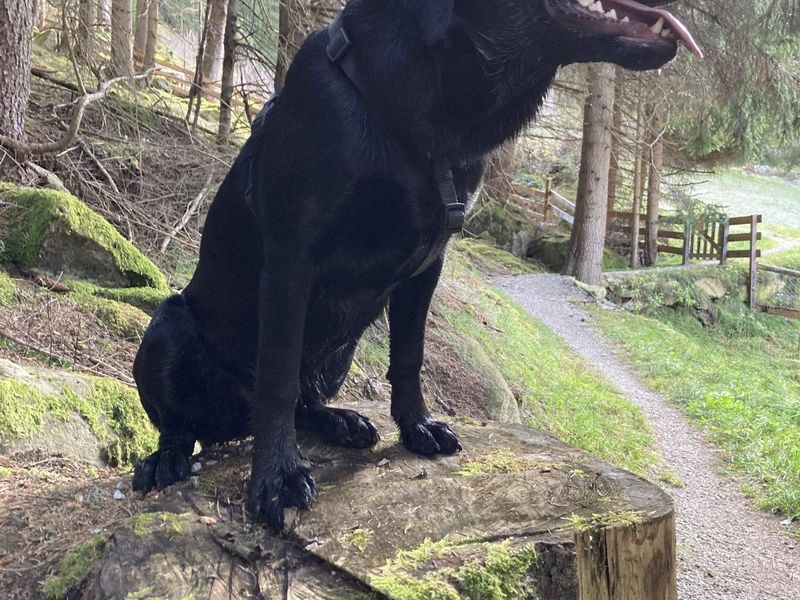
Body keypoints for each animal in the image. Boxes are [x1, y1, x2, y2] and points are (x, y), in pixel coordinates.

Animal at [131, 0, 692, 528]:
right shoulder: (292, 257)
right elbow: (277, 380)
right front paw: (277, 477)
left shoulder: (428, 265)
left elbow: (408, 358)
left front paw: (417, 427)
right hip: (165, 327)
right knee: (186, 423)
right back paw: (167, 460)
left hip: (336, 356)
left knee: (304, 403)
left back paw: (339, 422)